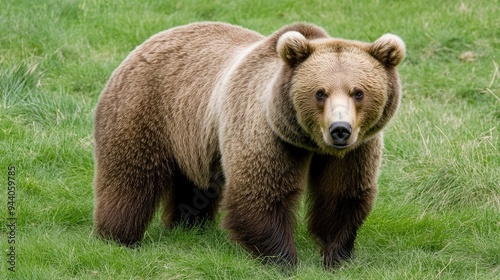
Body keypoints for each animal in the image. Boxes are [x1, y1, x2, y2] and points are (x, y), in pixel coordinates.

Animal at [93, 20, 406, 270]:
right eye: (320, 92)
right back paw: (117, 236)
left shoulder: (356, 150)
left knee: (193, 185)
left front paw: (336, 256)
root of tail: (147, 42)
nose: (339, 130)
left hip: (193, 136)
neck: (309, 142)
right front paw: (282, 260)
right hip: (144, 108)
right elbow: (261, 192)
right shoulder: (265, 132)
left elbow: (341, 193)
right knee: (130, 177)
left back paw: (188, 225)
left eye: (358, 92)